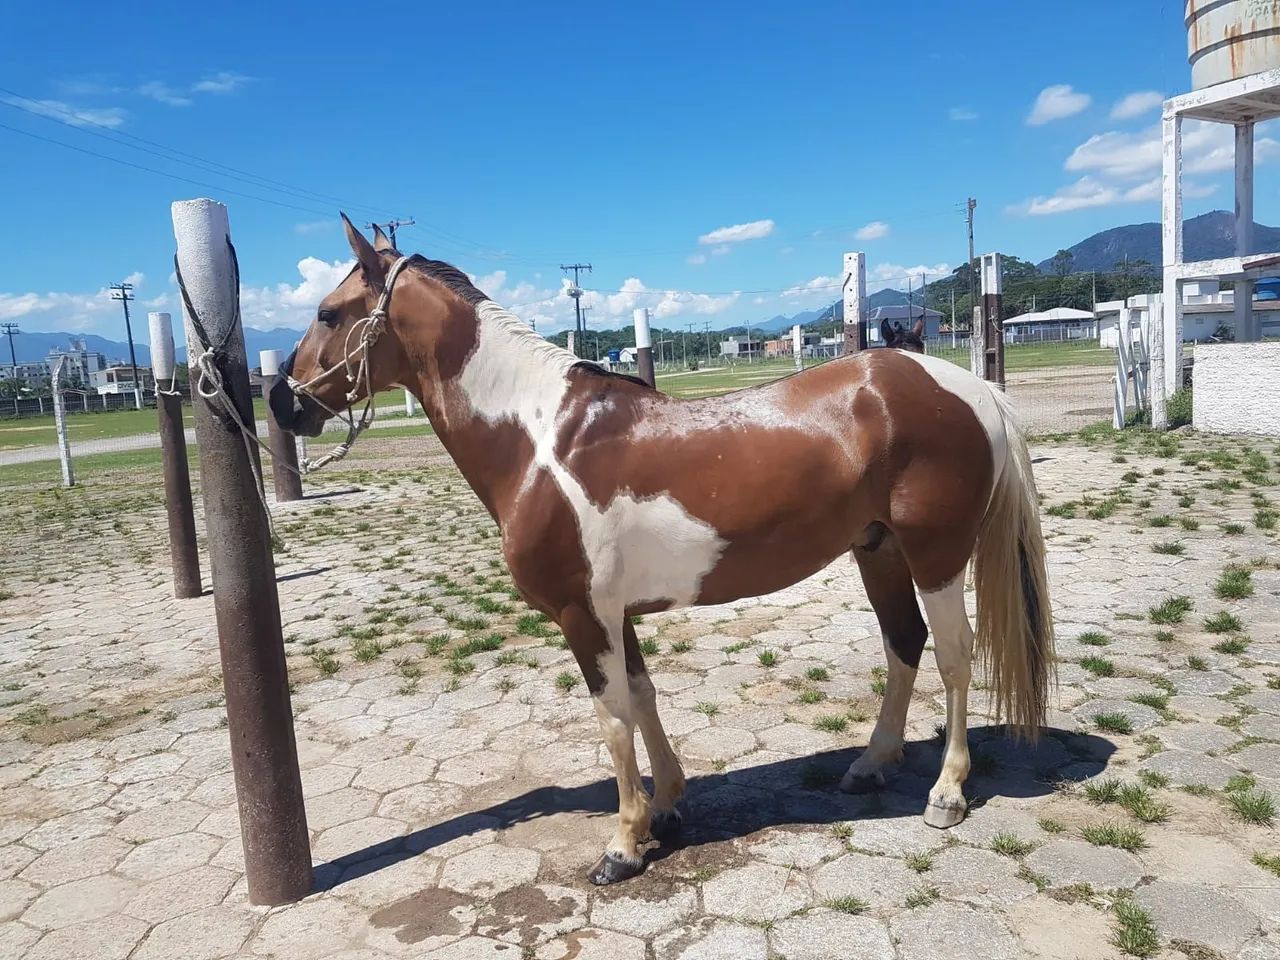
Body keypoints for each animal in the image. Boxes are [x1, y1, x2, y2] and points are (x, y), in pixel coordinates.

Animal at [270, 216, 1055, 886]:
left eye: (329, 313)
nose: (281, 402)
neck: (539, 439)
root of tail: (967, 385)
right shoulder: (613, 613)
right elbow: (643, 698)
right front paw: (669, 804)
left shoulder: (582, 615)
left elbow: (614, 721)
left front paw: (623, 844)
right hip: (878, 551)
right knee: (904, 643)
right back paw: (870, 765)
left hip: (935, 554)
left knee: (953, 655)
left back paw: (946, 792)